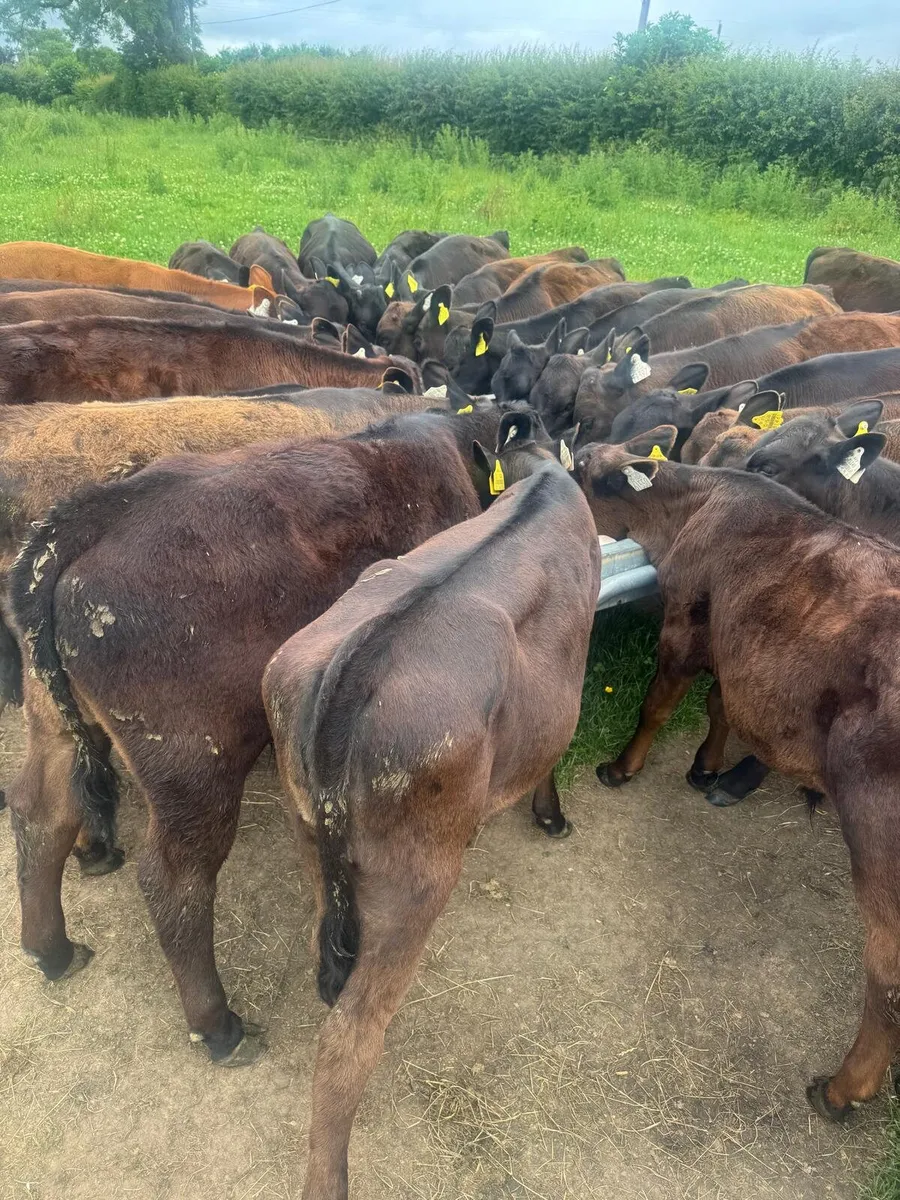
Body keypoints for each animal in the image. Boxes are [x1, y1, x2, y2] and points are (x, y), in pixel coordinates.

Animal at [4, 402, 531, 1076]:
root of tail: (96, 513)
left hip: (53, 721)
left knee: (40, 810)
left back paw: (51, 949)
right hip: (194, 766)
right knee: (174, 882)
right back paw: (218, 1026)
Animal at [262, 415, 600, 1200]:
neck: (542, 475)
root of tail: (357, 660)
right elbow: (555, 747)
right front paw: (550, 812)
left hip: (306, 832)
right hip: (413, 883)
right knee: (347, 1043)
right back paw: (330, 1179)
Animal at [574, 436, 900, 1125]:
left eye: (580, 473)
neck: (695, 503)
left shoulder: (686, 621)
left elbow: (659, 704)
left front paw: (623, 767)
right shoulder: (734, 640)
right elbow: (721, 702)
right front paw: (705, 767)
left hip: (878, 833)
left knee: (888, 975)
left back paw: (842, 1089)